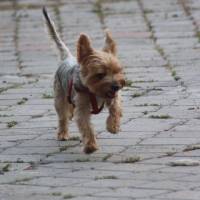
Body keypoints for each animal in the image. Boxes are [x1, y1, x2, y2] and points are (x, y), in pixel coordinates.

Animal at [42, 6, 125, 153]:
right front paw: (91, 145)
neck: (95, 91)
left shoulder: (114, 97)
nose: (116, 86)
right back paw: (63, 134)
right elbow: (86, 126)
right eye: (100, 74)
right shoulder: (82, 107)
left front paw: (113, 126)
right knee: (62, 117)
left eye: (117, 71)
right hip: (59, 98)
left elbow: (115, 109)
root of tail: (67, 58)